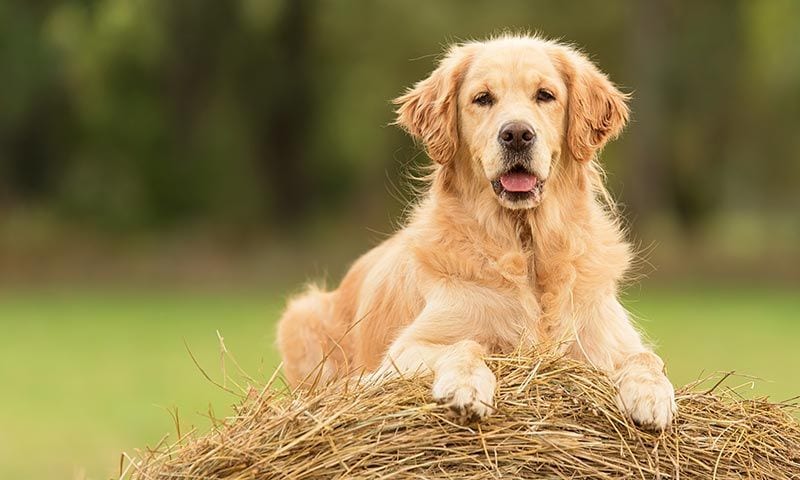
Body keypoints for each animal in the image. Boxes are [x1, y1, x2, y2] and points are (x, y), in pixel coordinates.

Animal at [276, 34, 676, 432]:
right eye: (482, 98)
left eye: (545, 95)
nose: (517, 134)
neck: (526, 247)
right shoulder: (404, 351)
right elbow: (465, 346)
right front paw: (465, 386)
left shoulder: (608, 341)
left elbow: (646, 359)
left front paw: (652, 396)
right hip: (301, 315)